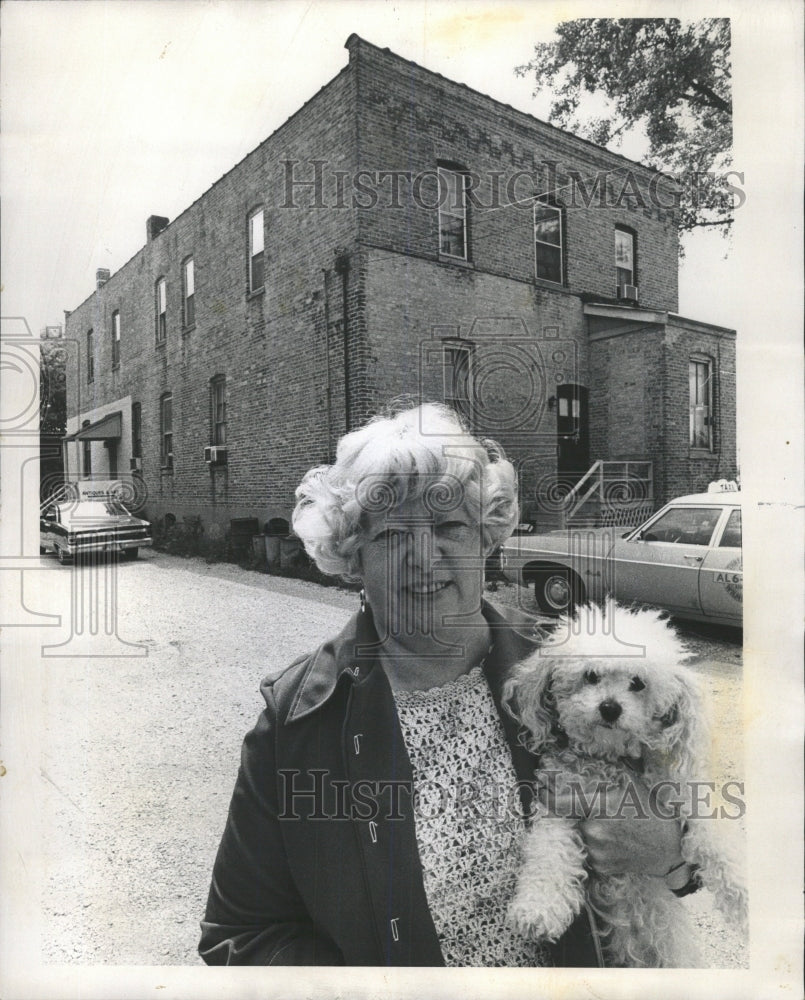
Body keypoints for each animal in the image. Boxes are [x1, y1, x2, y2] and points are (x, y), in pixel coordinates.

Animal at [502, 604, 748, 964]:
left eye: (638, 683)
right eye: (591, 675)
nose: (610, 707)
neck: (612, 762)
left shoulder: (683, 796)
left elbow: (716, 841)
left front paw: (747, 899)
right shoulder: (559, 804)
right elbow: (548, 852)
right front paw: (538, 908)